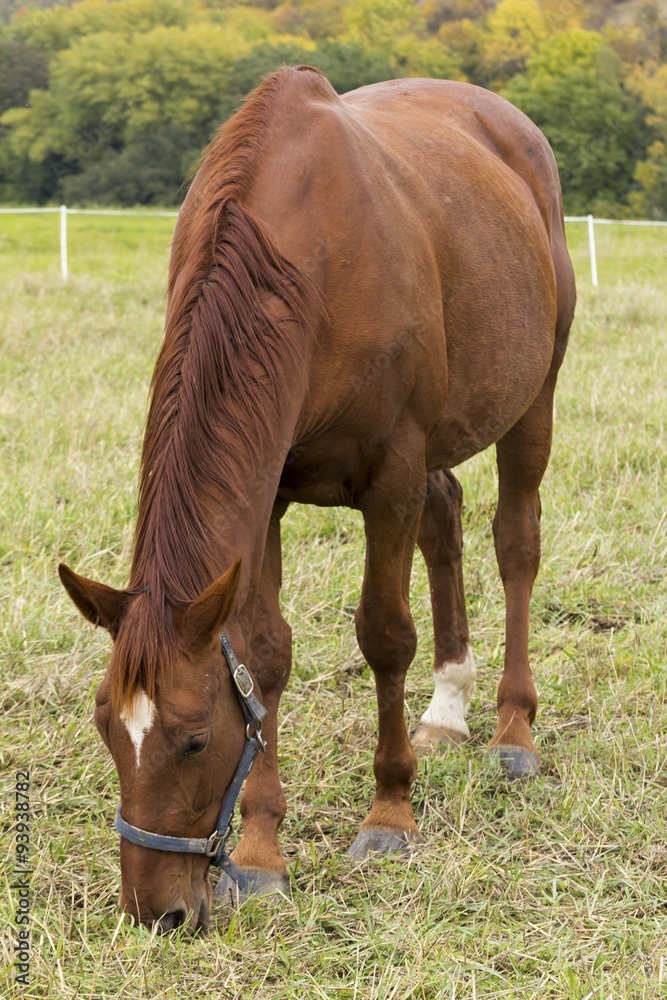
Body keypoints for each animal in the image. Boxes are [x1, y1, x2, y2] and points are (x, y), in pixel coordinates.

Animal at [59, 65, 576, 933]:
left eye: (193, 740)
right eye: (105, 729)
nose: (156, 913)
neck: (308, 255)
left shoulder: (390, 477)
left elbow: (385, 638)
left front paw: (390, 814)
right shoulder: (266, 490)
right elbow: (265, 654)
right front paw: (263, 853)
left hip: (530, 400)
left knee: (516, 544)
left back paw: (512, 730)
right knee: (446, 518)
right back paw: (448, 709)